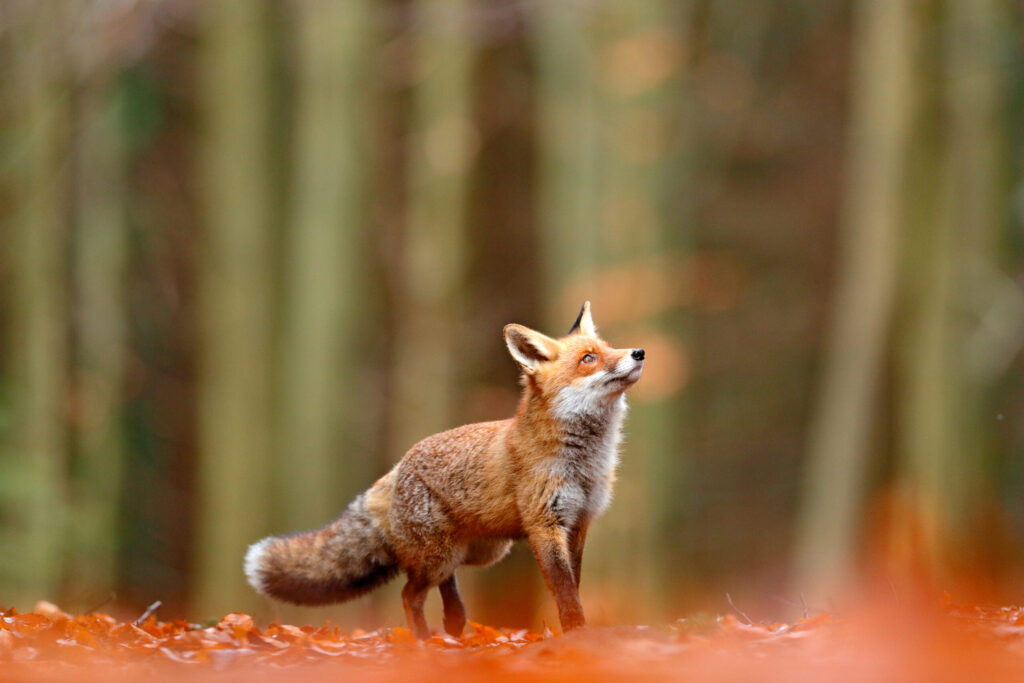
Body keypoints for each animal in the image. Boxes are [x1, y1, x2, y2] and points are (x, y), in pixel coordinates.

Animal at [244, 302, 645, 639]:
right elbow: (564, 591)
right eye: (588, 359)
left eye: (609, 347)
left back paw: (453, 629)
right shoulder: (545, 524)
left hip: (477, 552)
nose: (638, 352)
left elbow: (573, 585)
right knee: (409, 595)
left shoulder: (579, 522)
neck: (585, 463)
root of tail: (396, 468)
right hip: (441, 556)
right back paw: (423, 642)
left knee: (446, 591)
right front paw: (576, 634)